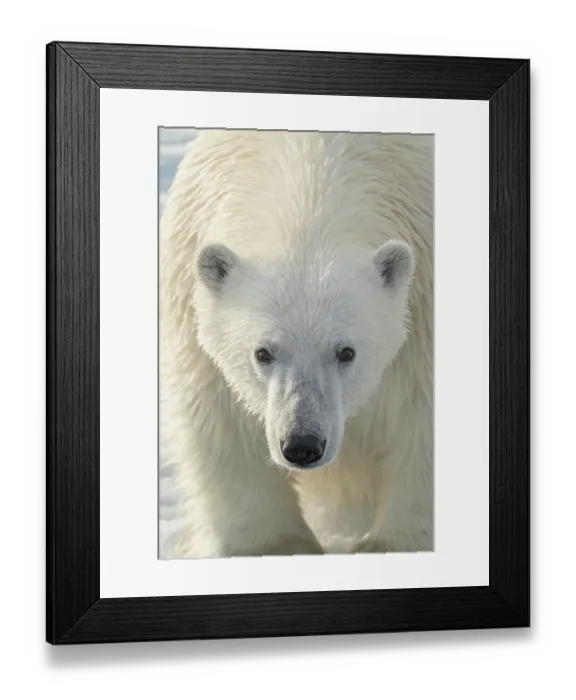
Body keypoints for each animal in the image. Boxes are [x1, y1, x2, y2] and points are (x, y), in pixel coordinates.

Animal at [159, 129, 433, 558]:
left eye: (346, 352)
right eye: (263, 353)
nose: (302, 444)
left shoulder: (423, 311)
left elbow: (422, 418)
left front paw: (391, 544)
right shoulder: (190, 313)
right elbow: (219, 420)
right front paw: (277, 545)